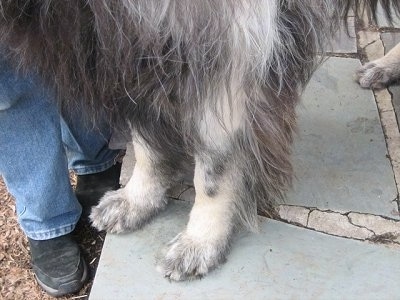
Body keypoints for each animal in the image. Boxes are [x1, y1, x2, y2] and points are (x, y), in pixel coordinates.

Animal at [0, 0, 396, 282]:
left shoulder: (229, 47)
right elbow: (146, 145)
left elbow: (212, 174)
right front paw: (137, 199)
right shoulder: (134, 48)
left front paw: (201, 241)